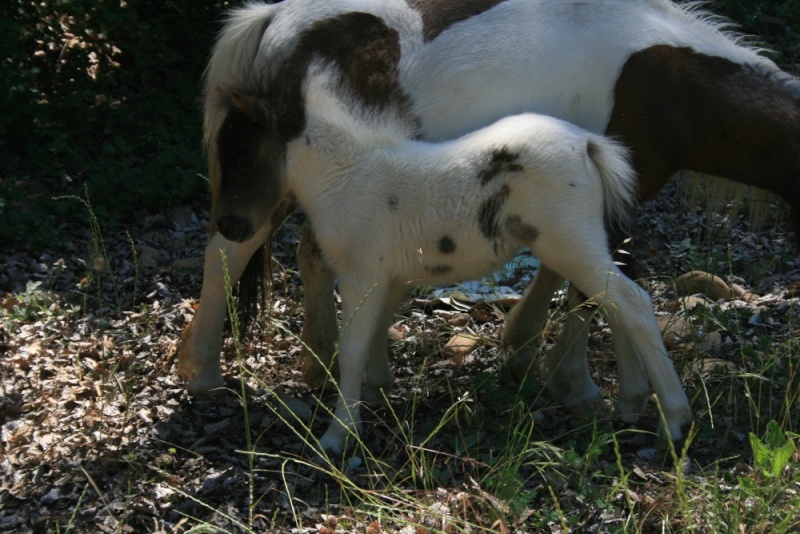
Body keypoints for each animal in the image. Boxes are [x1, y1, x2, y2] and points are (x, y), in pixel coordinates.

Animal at [180, 0, 800, 444]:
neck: (664, 77)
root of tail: (270, 17)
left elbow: (590, 278)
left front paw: (547, 360)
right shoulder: (625, 183)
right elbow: (593, 290)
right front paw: (579, 383)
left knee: (304, 254)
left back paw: (325, 366)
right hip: (268, 201)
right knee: (227, 252)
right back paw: (206, 370)